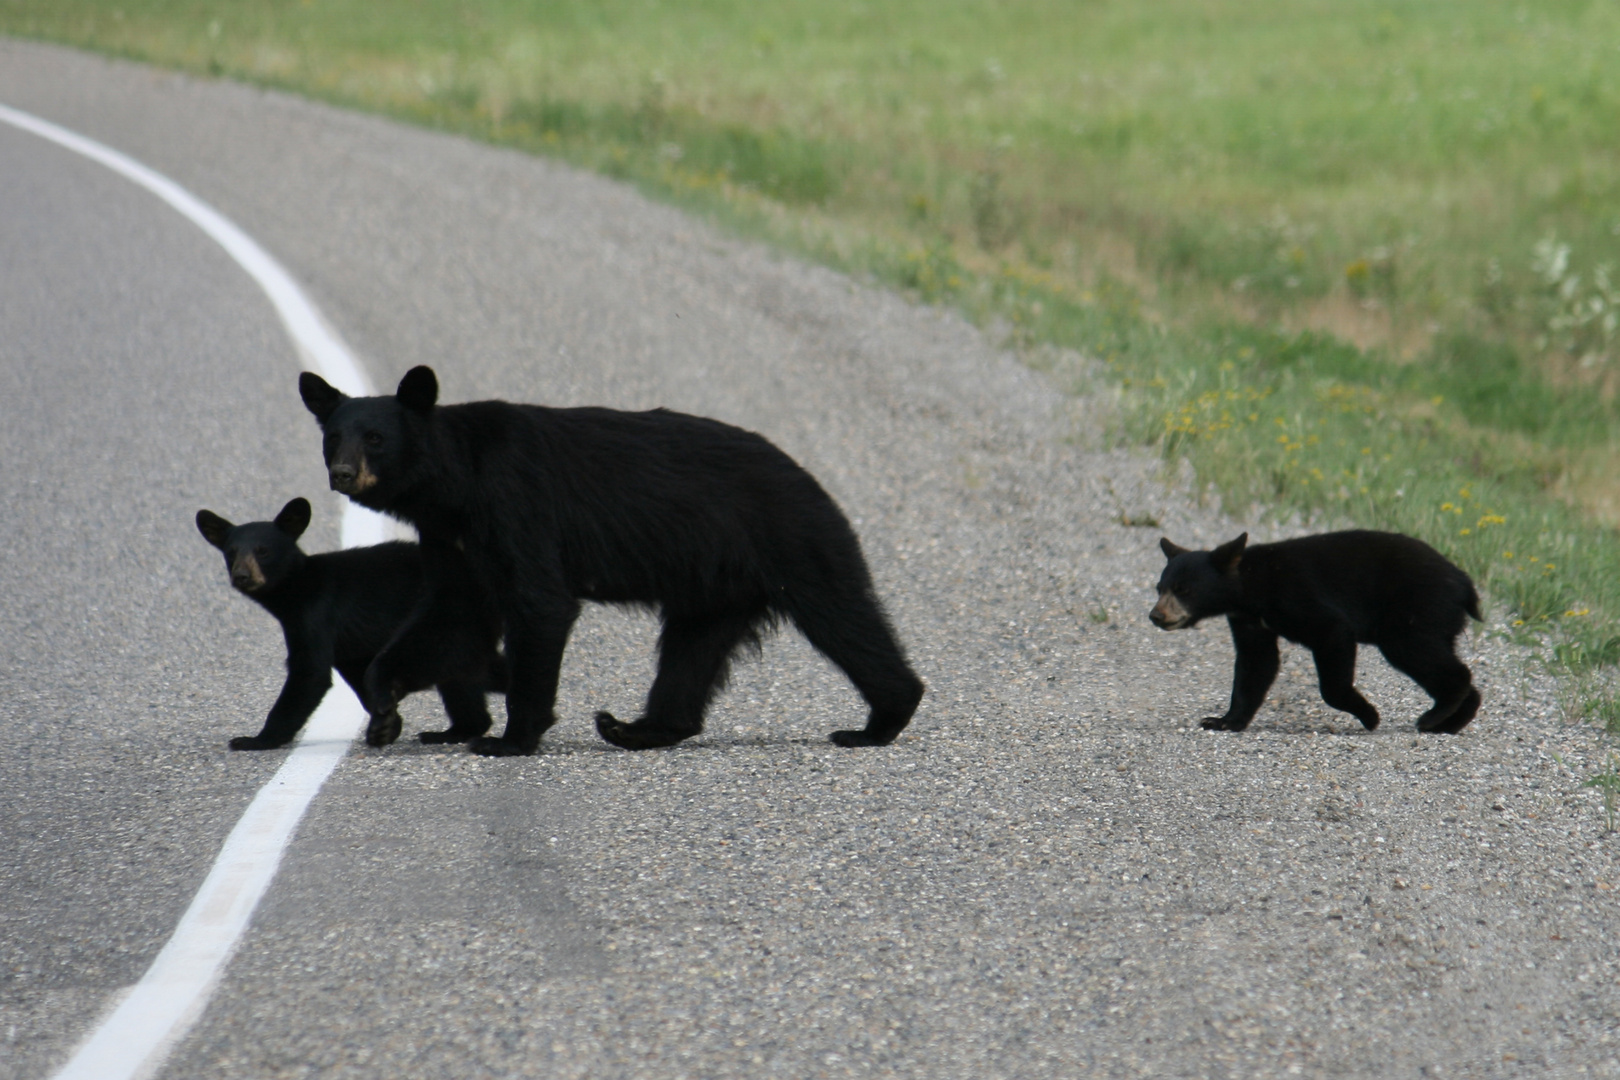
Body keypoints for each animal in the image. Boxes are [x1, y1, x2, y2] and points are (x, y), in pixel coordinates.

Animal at [196, 498, 502, 751]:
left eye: (263, 551)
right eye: (231, 552)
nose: (242, 576)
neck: (297, 588)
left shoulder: (316, 615)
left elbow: (310, 673)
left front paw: (256, 740)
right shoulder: (349, 646)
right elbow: (360, 674)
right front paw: (388, 724)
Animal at [296, 367, 920, 757]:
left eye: (375, 438)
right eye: (332, 438)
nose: (343, 474)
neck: (455, 484)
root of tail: (808, 473)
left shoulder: (517, 506)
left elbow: (541, 604)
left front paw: (510, 739)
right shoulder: (453, 540)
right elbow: (451, 615)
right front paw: (384, 710)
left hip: (792, 539)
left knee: (842, 616)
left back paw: (879, 720)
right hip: (715, 589)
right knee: (692, 650)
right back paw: (635, 728)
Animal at [1153, 531, 1483, 735]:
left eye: (1183, 589)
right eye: (1160, 588)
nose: (1156, 615)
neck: (1251, 584)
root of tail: (1465, 583)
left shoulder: (1296, 596)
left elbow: (1332, 633)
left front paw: (1369, 716)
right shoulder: (1249, 620)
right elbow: (1255, 664)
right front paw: (1223, 721)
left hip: (1417, 610)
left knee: (1422, 655)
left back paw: (1433, 716)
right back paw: (1450, 722)